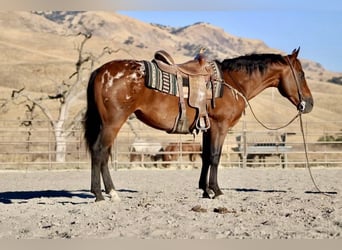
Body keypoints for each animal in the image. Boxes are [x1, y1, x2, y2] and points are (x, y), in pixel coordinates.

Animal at [84, 48, 314, 201]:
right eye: (301, 74)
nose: (309, 103)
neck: (231, 83)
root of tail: (100, 71)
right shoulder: (220, 126)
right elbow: (214, 157)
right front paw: (217, 191)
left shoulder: (207, 128)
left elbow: (205, 157)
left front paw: (205, 190)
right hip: (113, 122)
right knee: (99, 151)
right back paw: (102, 194)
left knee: (103, 154)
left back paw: (109, 192)